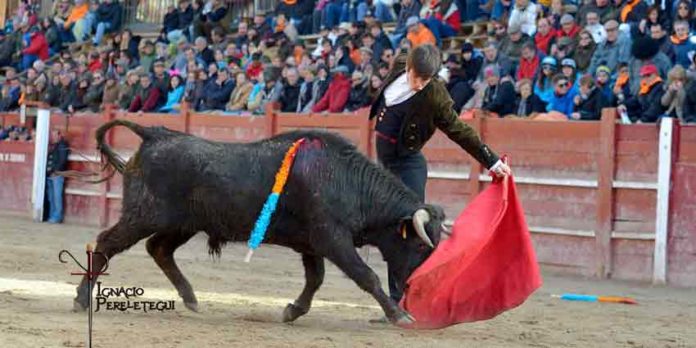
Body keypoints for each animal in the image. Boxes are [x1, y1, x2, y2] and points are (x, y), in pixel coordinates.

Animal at [75, 120, 446, 326]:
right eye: (418, 243)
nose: (414, 287)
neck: (346, 180)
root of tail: (155, 134)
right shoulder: (332, 239)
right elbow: (365, 275)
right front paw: (399, 315)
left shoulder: (312, 244)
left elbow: (315, 279)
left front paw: (292, 310)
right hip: (142, 215)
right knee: (107, 244)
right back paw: (81, 300)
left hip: (182, 223)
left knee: (159, 249)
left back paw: (191, 298)